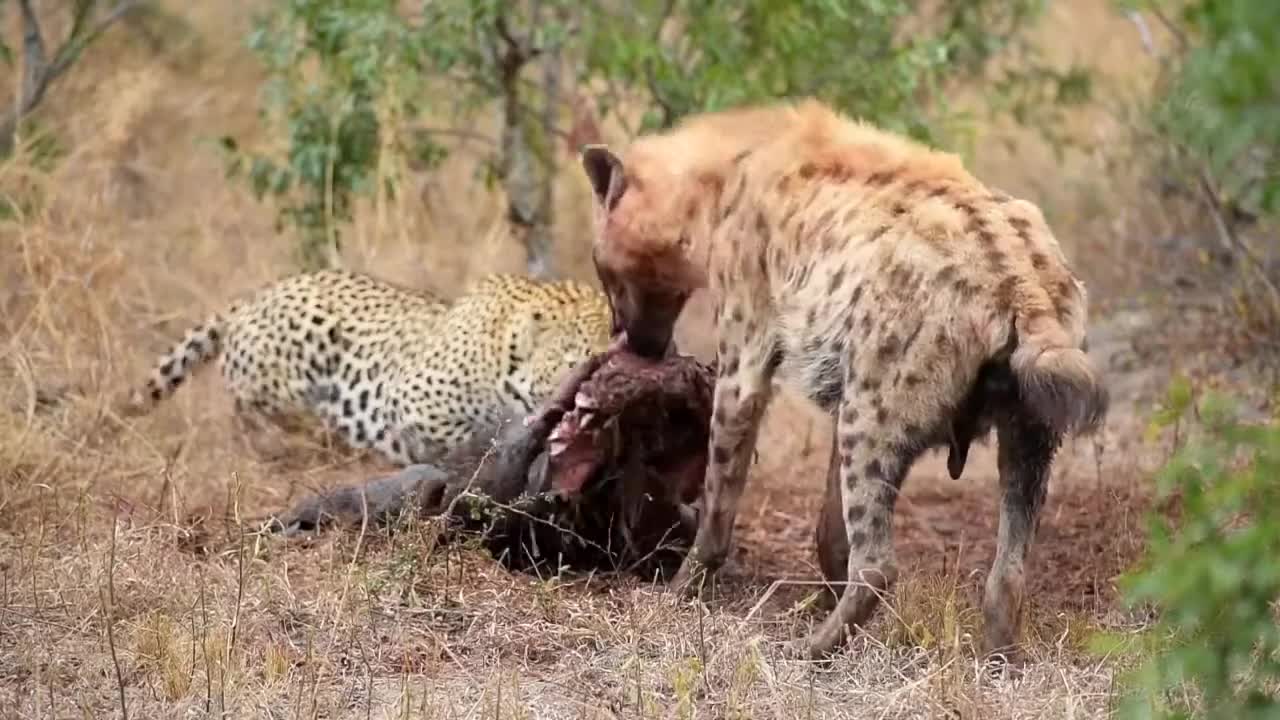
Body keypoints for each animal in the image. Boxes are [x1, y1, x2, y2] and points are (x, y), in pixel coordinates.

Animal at [581, 98, 1111, 666]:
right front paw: (820, 593)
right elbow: (831, 525)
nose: (631, 340)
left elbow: (720, 492)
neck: (718, 184)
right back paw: (997, 657)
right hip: (1023, 425)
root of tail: (1023, 285)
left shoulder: (747, 346)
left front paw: (681, 589)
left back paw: (811, 649)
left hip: (878, 409)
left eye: (602, 269)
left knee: (880, 565)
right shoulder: (848, 381)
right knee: (1009, 563)